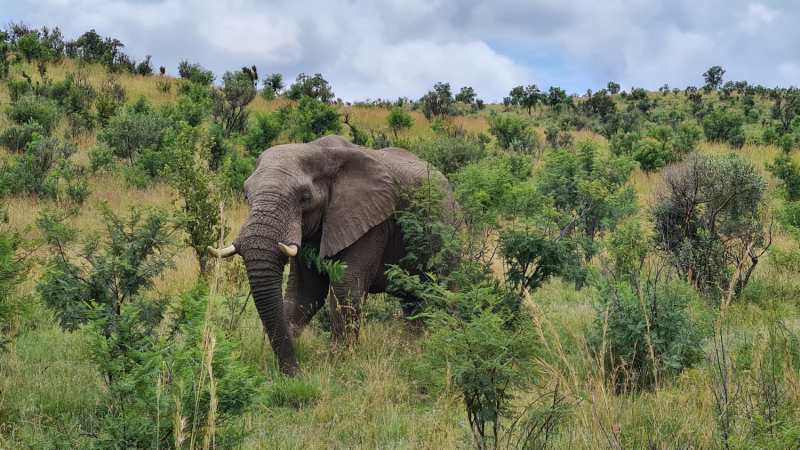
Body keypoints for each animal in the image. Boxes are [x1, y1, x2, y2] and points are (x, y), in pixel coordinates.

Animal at [208, 135, 456, 374]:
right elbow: (306, 292)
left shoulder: (372, 221)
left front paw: (341, 365)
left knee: (443, 292)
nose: (299, 373)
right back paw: (410, 349)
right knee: (412, 300)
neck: (319, 150)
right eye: (246, 196)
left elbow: (346, 287)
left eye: (305, 198)